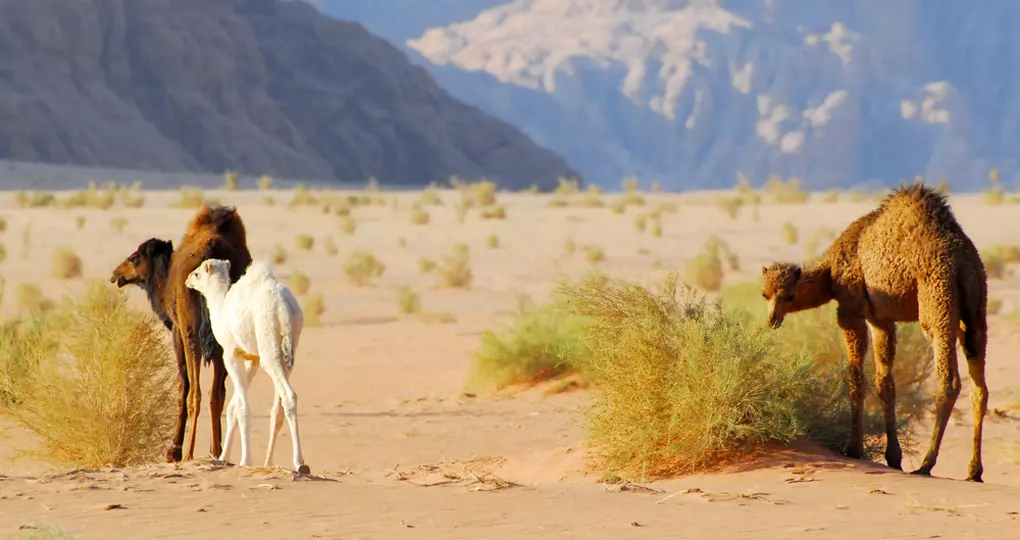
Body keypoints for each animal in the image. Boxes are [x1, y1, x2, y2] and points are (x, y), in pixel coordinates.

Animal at [110, 205, 252, 462]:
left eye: (135, 258)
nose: (116, 274)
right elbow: (218, 391)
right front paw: (214, 450)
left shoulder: (177, 332)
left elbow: (182, 386)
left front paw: (173, 451)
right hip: (224, 337)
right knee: (216, 394)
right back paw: (216, 452)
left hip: (190, 332)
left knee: (194, 392)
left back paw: (188, 454)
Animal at [185, 258, 309, 474]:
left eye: (198, 273)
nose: (187, 279)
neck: (221, 310)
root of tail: (284, 307)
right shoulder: (253, 359)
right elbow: (233, 406)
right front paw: (224, 456)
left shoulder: (231, 354)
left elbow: (242, 407)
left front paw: (245, 460)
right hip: (290, 347)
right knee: (278, 407)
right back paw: (270, 462)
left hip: (269, 344)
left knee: (288, 394)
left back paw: (299, 462)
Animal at [760, 183, 988, 482]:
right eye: (764, 294)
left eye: (788, 295)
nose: (772, 320)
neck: (831, 272)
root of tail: (962, 258)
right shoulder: (881, 319)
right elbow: (885, 384)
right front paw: (893, 457)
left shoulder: (852, 311)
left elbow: (855, 379)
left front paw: (854, 449)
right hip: (975, 308)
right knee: (979, 385)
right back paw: (974, 470)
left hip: (937, 300)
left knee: (949, 381)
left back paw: (926, 464)